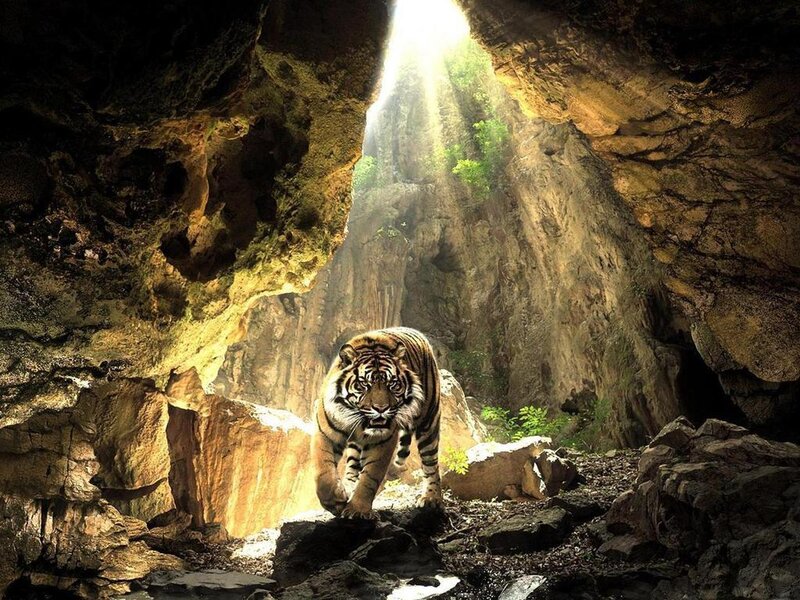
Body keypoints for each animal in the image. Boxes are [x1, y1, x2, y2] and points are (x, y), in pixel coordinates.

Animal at [313, 326, 442, 519]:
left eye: (392, 384)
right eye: (363, 384)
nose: (381, 408)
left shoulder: (382, 441)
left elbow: (370, 477)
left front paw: (358, 510)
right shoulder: (325, 433)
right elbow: (323, 471)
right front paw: (335, 501)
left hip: (429, 422)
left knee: (431, 463)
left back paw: (432, 498)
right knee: (352, 464)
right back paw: (348, 486)